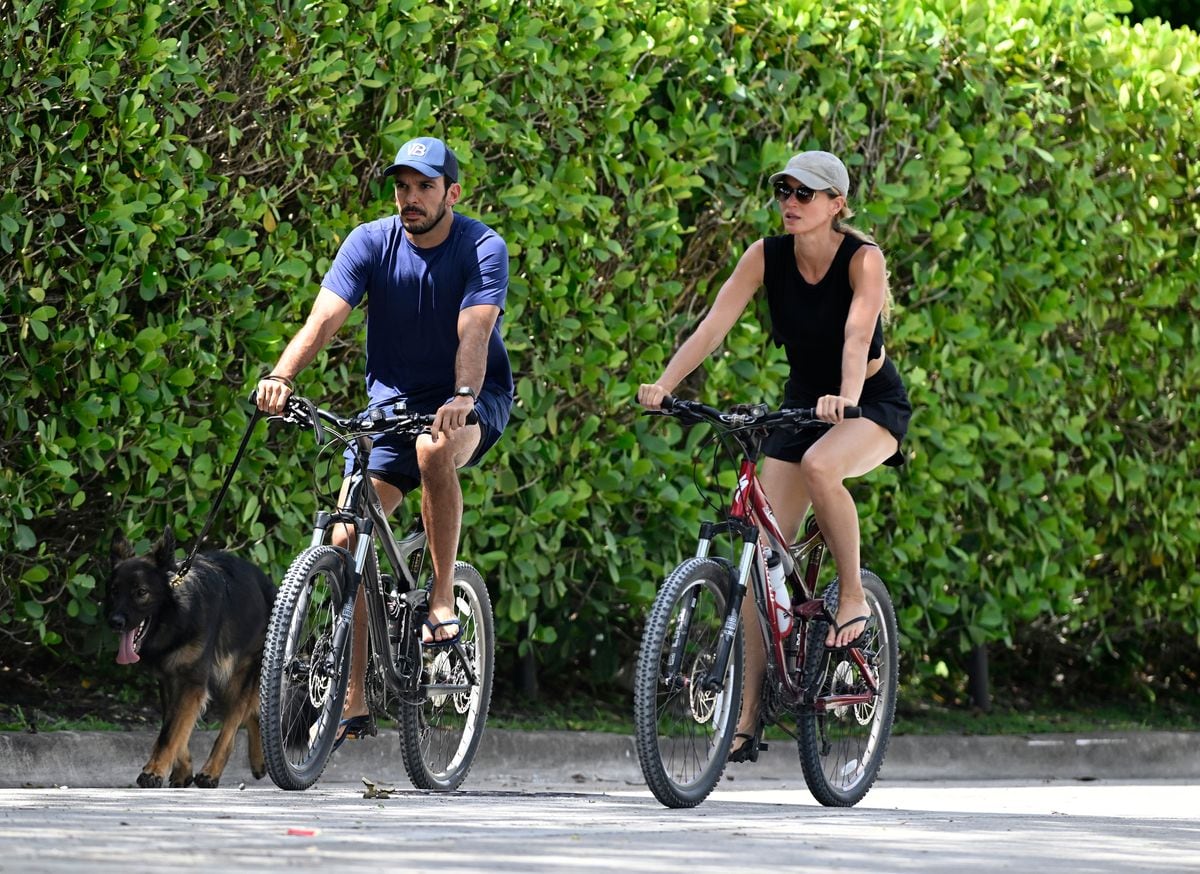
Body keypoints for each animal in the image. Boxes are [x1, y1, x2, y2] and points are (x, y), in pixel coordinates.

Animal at [106, 528, 276, 787]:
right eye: (115, 591)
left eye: (141, 592)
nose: (114, 622)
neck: (178, 616)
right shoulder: (170, 681)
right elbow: (174, 726)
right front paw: (182, 769)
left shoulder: (192, 683)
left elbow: (170, 732)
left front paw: (154, 771)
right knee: (252, 711)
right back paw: (257, 761)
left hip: (242, 675)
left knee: (232, 724)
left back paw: (211, 772)